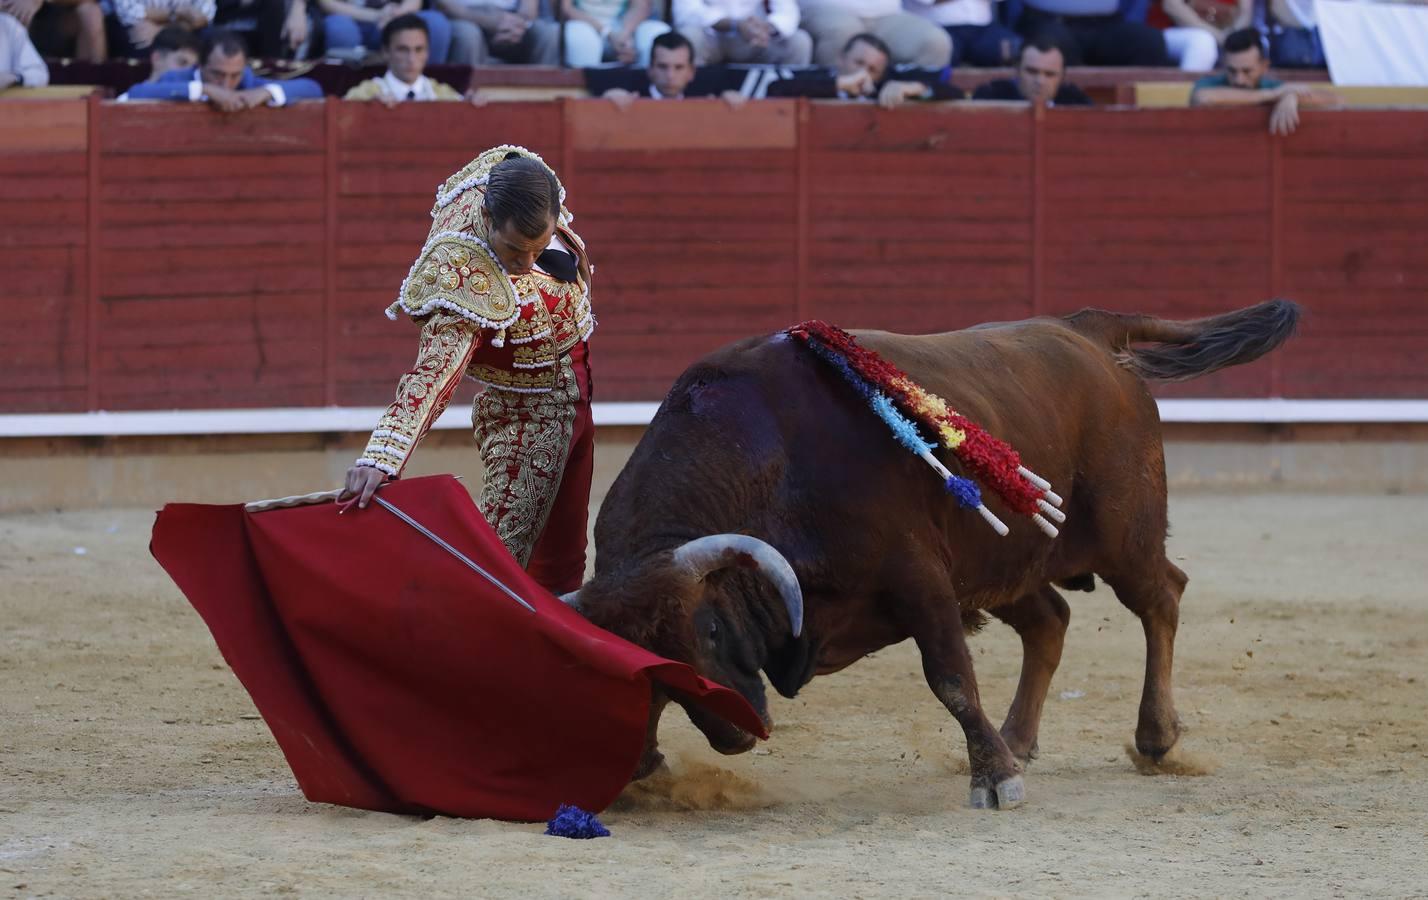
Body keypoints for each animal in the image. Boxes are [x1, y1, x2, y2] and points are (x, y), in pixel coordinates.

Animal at [562, 301, 1302, 811]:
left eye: (713, 630)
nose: (735, 736)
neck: (768, 462)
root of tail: (1088, 330)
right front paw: (636, 768)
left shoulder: (918, 578)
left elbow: (949, 676)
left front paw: (995, 782)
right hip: (1003, 562)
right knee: (1050, 620)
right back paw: (1019, 739)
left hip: (1124, 536)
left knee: (1162, 596)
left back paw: (1154, 738)